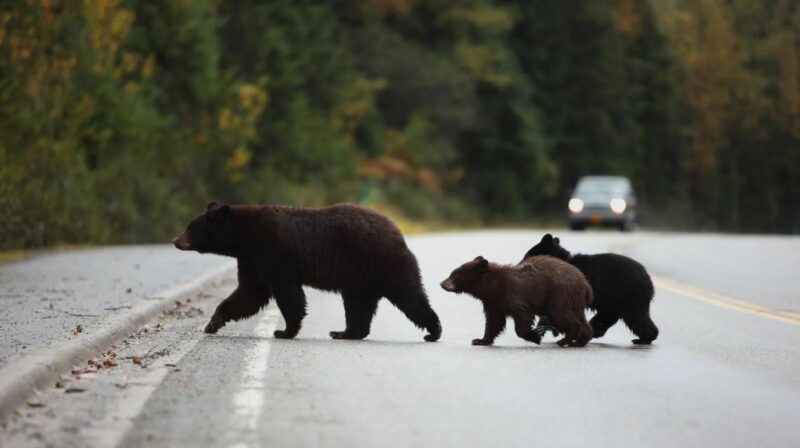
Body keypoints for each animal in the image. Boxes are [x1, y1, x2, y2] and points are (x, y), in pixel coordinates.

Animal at [173, 203, 444, 344]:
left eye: (191, 227)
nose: (175, 240)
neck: (245, 237)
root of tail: (397, 231)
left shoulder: (274, 253)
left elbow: (286, 292)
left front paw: (284, 331)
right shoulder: (251, 260)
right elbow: (249, 293)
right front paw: (213, 322)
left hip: (383, 264)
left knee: (409, 296)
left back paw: (433, 330)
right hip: (360, 280)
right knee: (358, 306)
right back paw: (345, 332)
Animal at [520, 234, 660, 346]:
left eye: (527, 255)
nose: (520, 264)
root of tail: (648, 279)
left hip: (628, 296)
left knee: (636, 317)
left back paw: (644, 338)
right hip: (614, 301)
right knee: (608, 317)